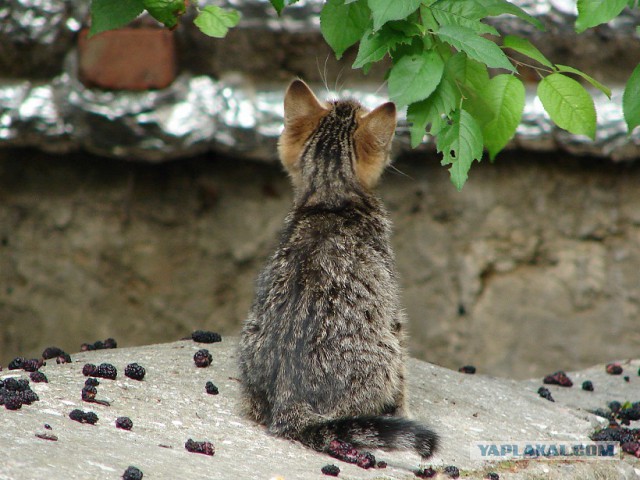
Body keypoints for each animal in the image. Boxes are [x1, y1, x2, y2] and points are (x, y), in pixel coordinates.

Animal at [238, 80, 438, 460]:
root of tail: (288, 404)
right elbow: (403, 381)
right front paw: (405, 411)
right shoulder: (393, 315)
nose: (350, 99)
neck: (331, 197)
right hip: (383, 349)